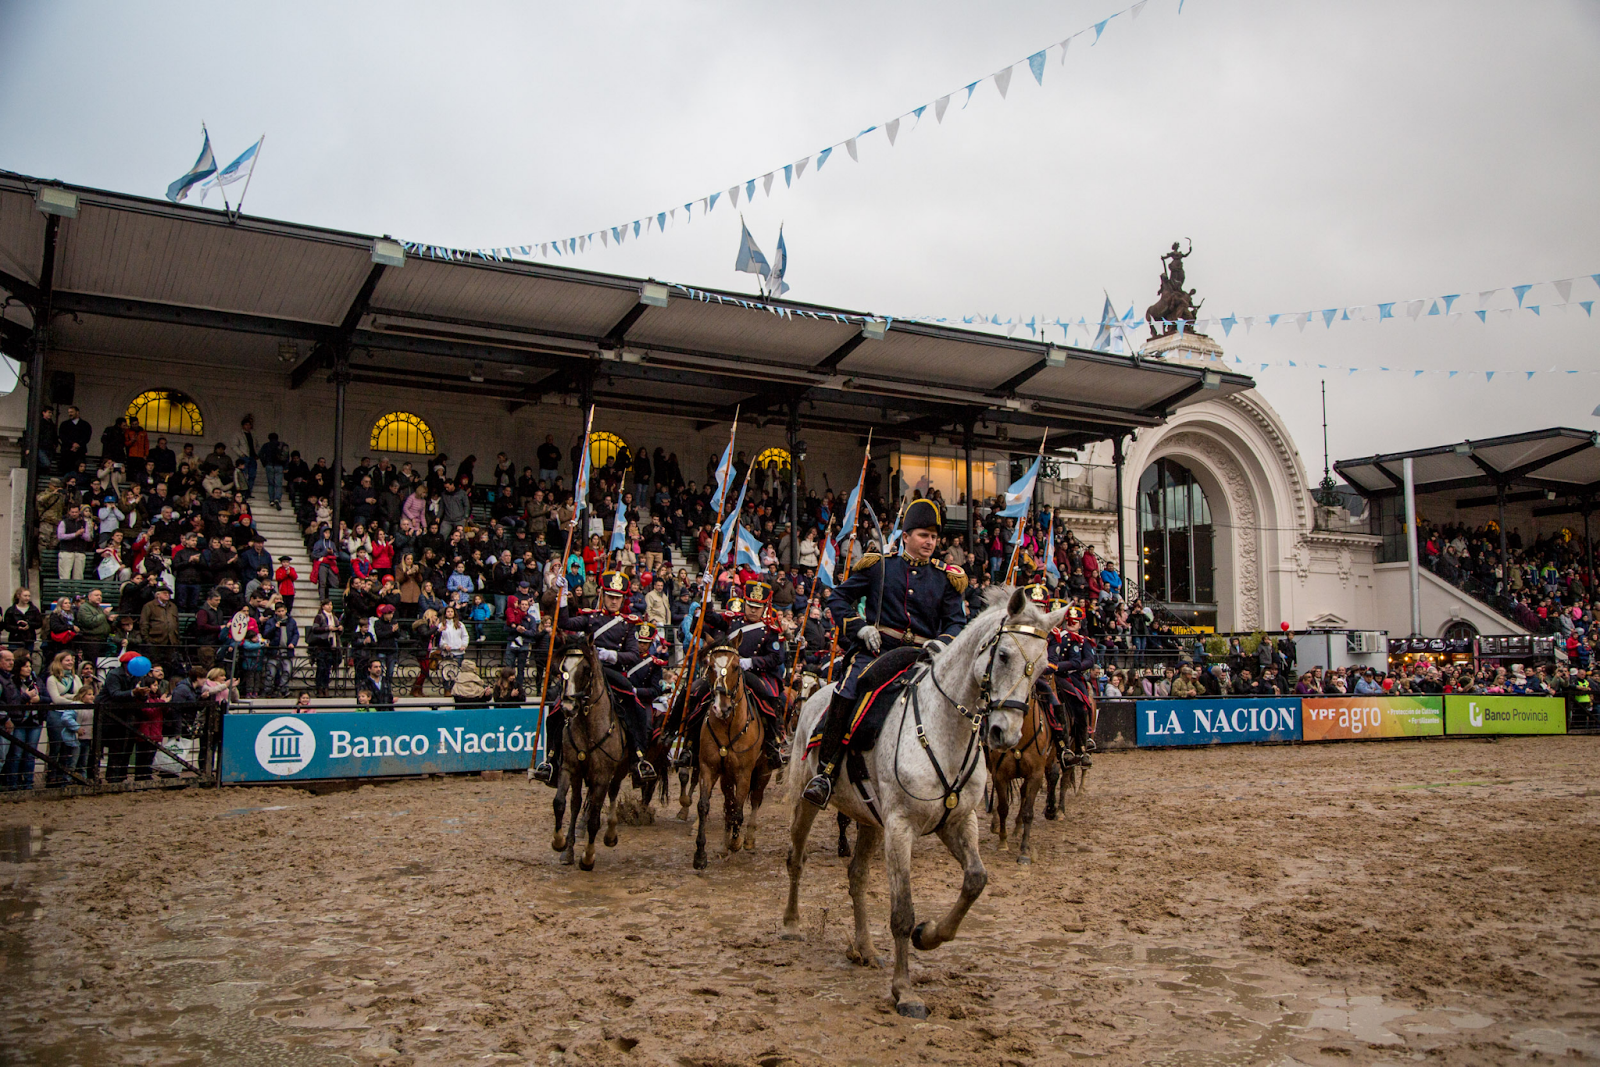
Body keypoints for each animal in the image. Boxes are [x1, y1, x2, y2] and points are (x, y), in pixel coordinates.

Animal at [547, 646, 627, 870]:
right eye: (563, 669)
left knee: (612, 793)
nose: (567, 707)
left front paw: (588, 857)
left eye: (585, 670)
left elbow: (594, 820)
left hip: (619, 771)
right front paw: (560, 843)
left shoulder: (602, 776)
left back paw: (610, 834)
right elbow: (561, 803)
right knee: (577, 803)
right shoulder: (570, 768)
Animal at [694, 646, 774, 870]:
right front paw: (700, 854)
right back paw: (724, 845)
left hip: (763, 770)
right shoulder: (709, 768)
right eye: (710, 666)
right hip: (727, 777)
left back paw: (748, 840)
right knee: (728, 807)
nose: (721, 708)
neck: (728, 725)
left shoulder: (744, 773)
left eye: (737, 666)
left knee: (755, 800)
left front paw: (736, 842)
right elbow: (704, 806)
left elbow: (739, 811)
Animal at [979, 694, 1056, 870]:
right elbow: (1003, 808)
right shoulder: (999, 774)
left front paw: (1025, 851)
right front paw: (1002, 841)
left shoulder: (1036, 775)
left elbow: (1028, 811)